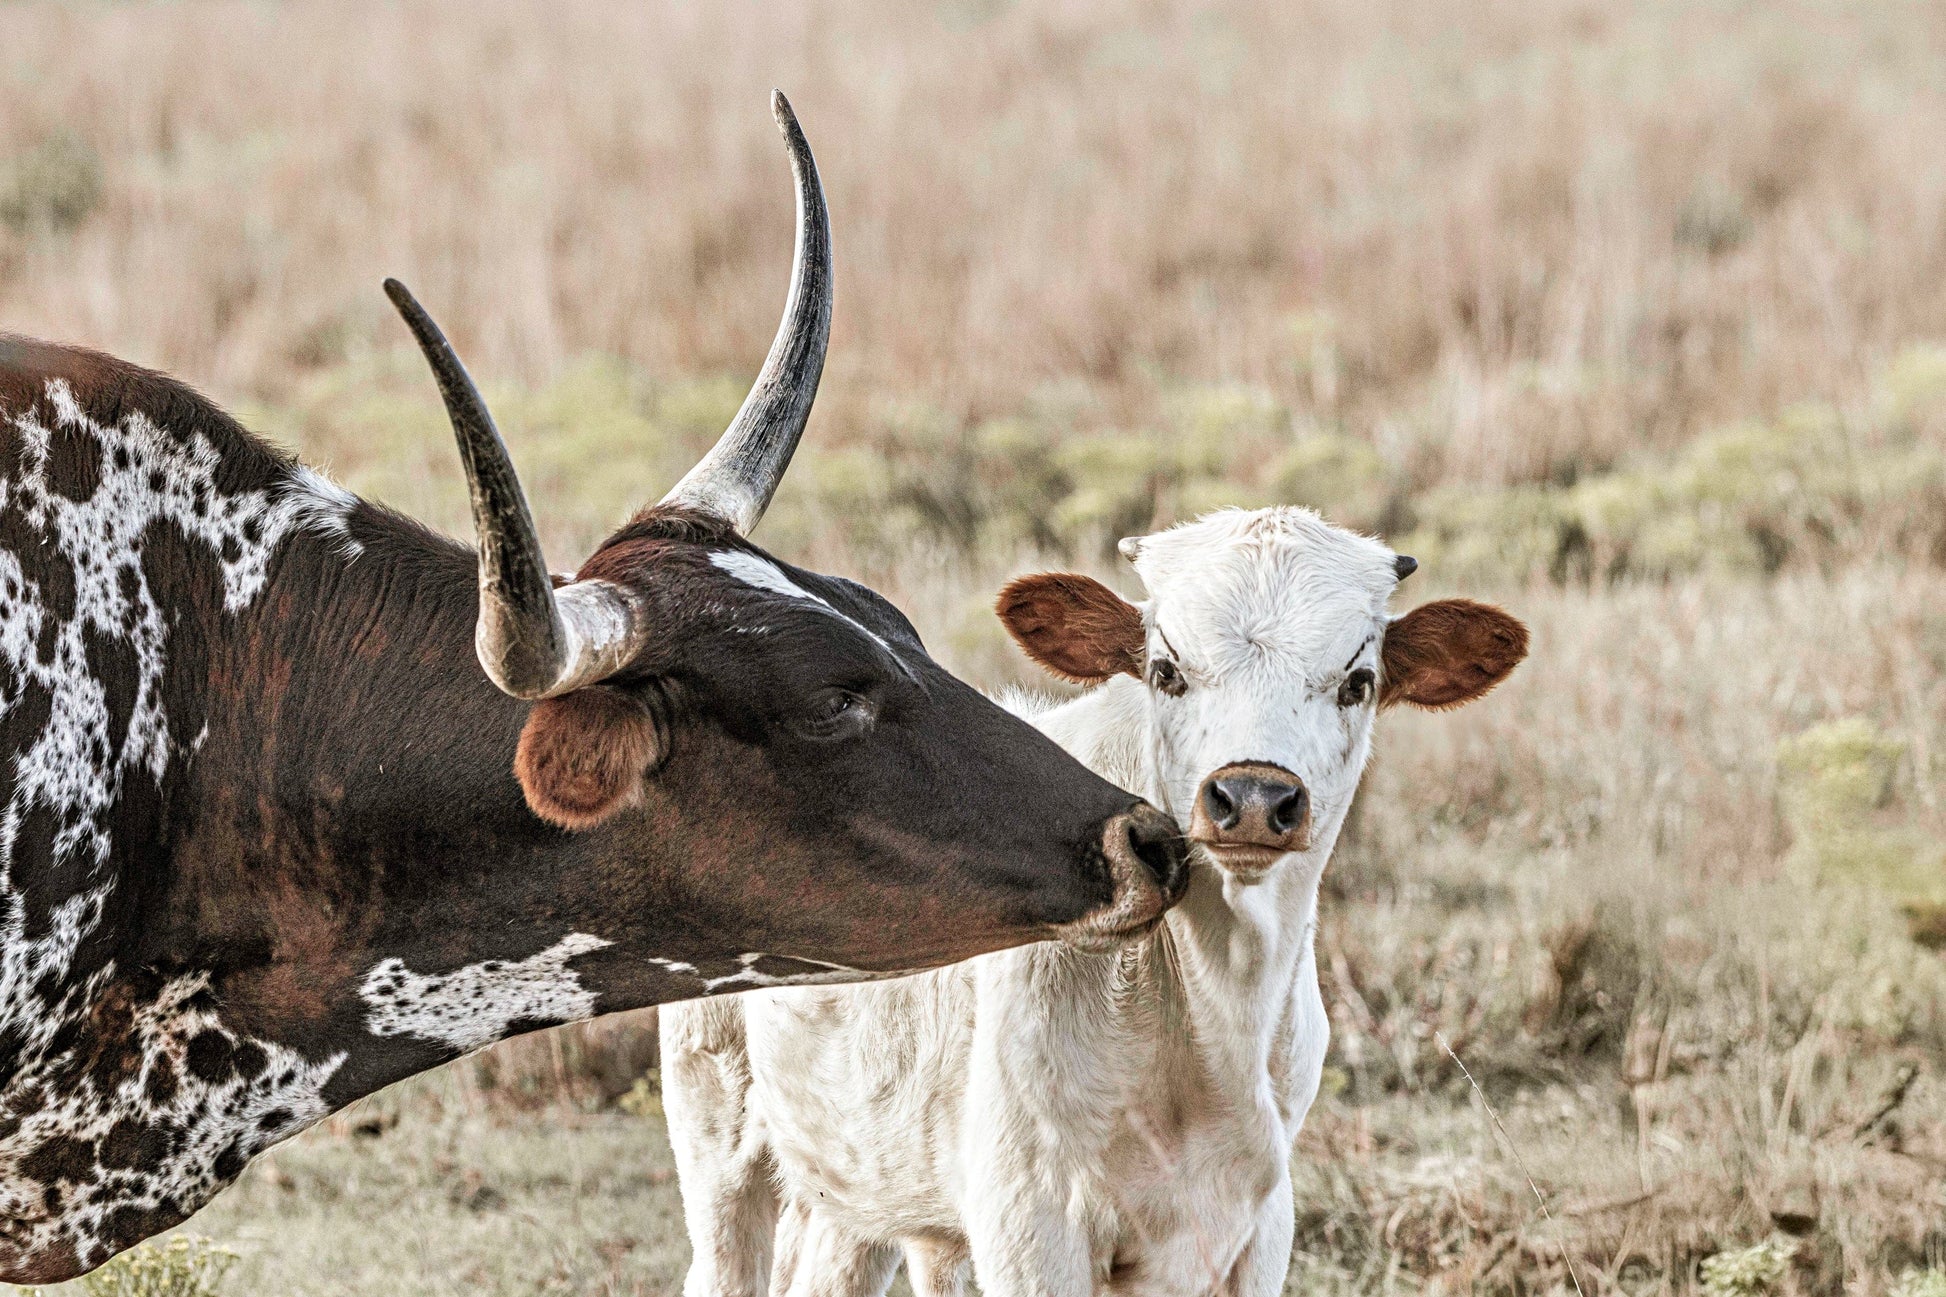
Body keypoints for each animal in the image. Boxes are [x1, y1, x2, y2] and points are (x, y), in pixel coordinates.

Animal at [661, 506, 1525, 1293]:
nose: (1252, 797)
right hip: (719, 1134)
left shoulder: (1258, 1225)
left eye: (1358, 680)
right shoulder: (1030, 1222)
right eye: (1166, 670)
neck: (1213, 1015)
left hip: (857, 1176)